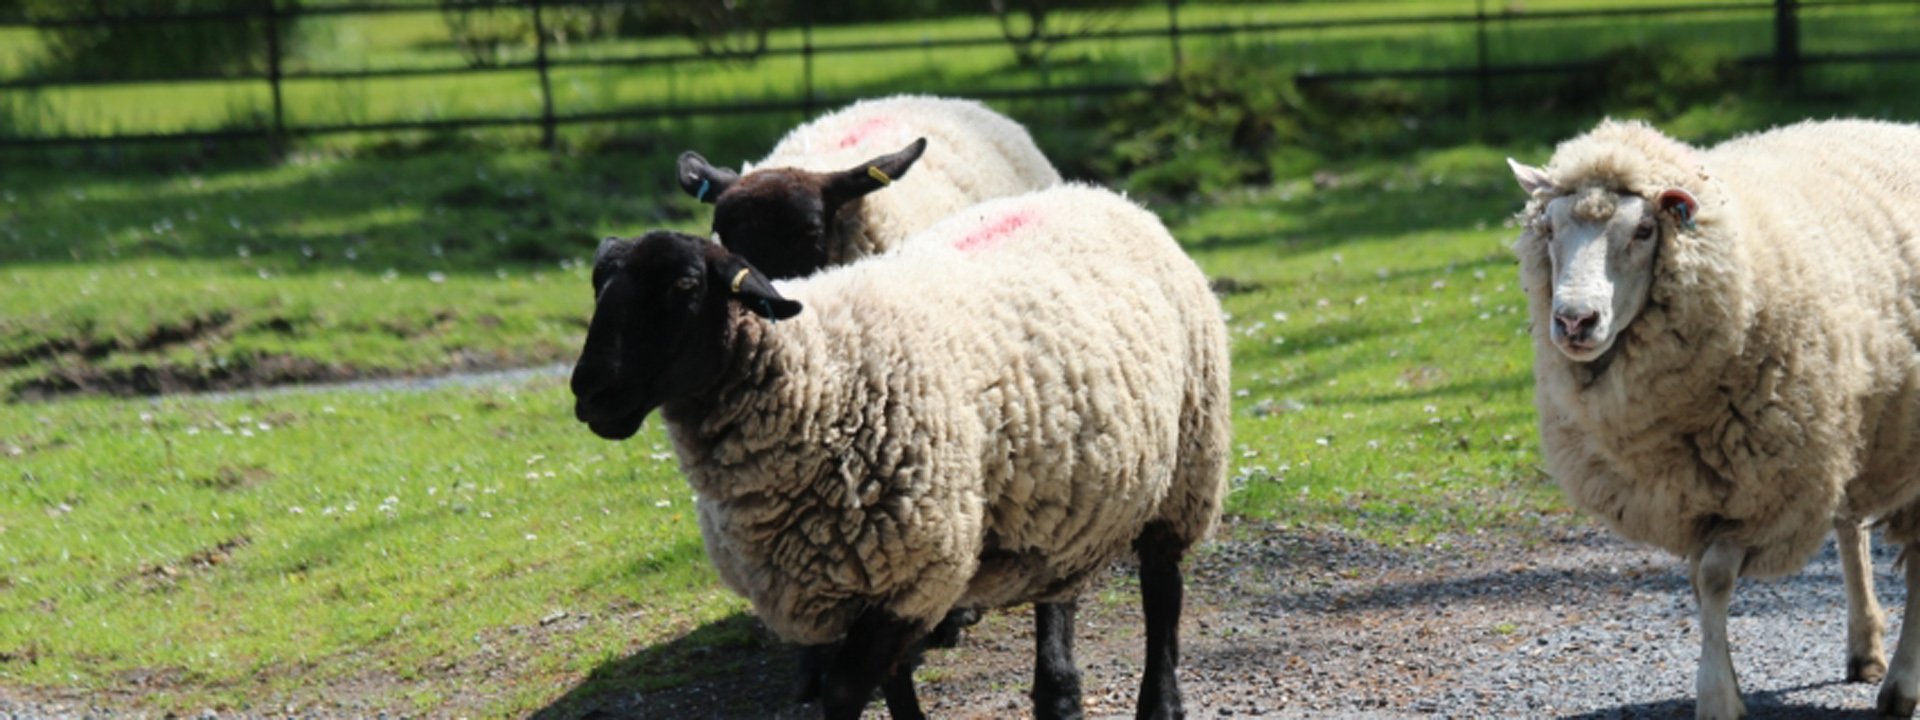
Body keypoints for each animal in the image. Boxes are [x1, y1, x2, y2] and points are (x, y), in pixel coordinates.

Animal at [568, 183, 1228, 718]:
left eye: (684, 285)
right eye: (599, 286)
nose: (589, 392)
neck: (817, 368)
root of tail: (1102, 193)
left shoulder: (915, 566)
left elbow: (845, 691)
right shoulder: (855, 581)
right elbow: (891, 681)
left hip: (1188, 466)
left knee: (1162, 595)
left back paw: (1160, 704)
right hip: (1063, 494)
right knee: (1059, 590)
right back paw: (1058, 694)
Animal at [1505, 120, 1920, 720]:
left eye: (1644, 230)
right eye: (1550, 228)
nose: (1575, 321)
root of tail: (1898, 126)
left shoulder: (1761, 491)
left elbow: (1717, 576)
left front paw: (1718, 698)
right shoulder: (1695, 494)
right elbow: (1702, 586)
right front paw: (1727, 688)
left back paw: (1900, 686)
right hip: (1857, 425)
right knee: (1851, 528)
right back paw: (1865, 647)